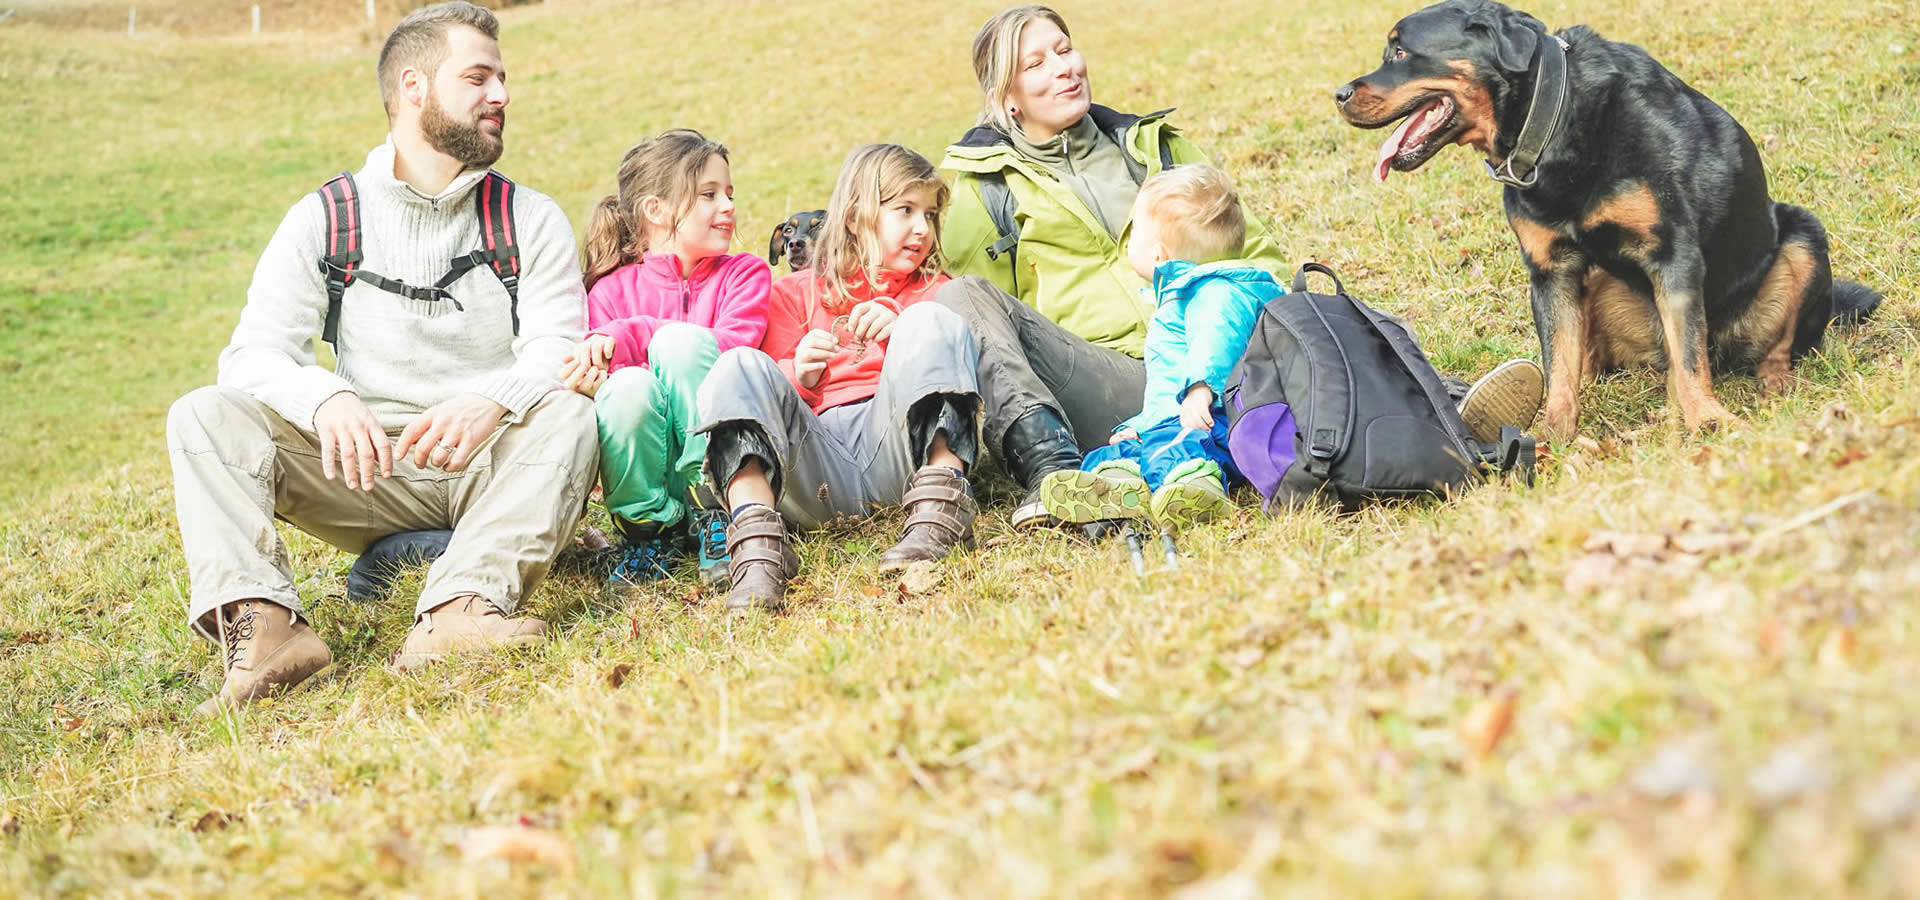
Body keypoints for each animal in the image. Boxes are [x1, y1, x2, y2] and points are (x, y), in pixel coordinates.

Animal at [1336, 0, 1873, 439]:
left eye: (1400, 52)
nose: (1338, 94)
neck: (1556, 122)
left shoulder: (1673, 256)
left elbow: (1689, 355)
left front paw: (1708, 421)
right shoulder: (1551, 272)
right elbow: (1559, 364)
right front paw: (1553, 437)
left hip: (1804, 236)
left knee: (1760, 346)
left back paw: (1773, 381)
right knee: (1591, 356)